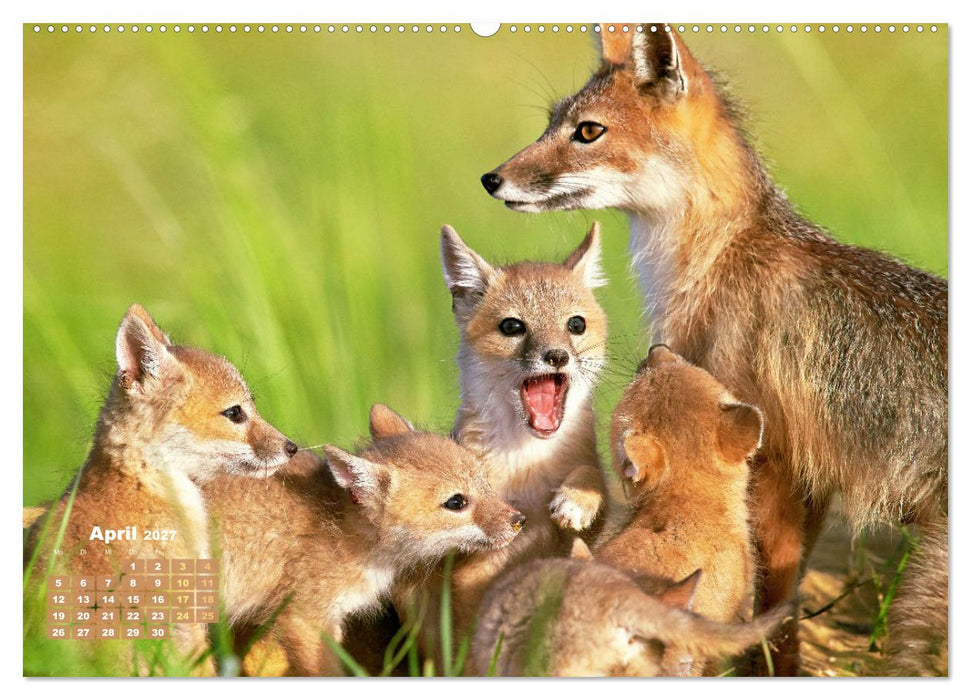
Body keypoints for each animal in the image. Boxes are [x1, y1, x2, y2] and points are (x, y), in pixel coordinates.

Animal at [397, 223, 608, 649]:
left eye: (576, 324)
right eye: (512, 327)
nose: (557, 355)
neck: (529, 464)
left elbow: (592, 477)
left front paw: (574, 500)